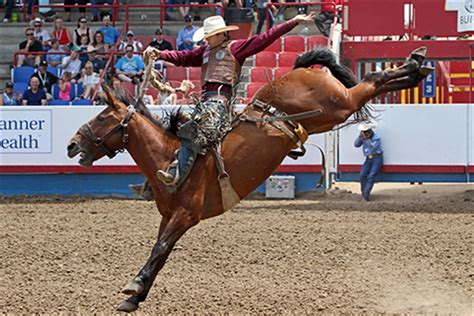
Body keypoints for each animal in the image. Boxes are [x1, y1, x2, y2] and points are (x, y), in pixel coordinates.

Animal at [67, 46, 434, 312]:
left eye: (101, 116)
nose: (72, 144)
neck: (170, 157)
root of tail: (301, 69)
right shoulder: (169, 216)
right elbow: (162, 252)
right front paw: (135, 297)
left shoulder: (185, 215)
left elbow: (159, 249)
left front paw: (133, 286)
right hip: (332, 113)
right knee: (374, 82)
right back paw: (416, 69)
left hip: (339, 104)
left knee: (373, 79)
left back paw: (416, 65)